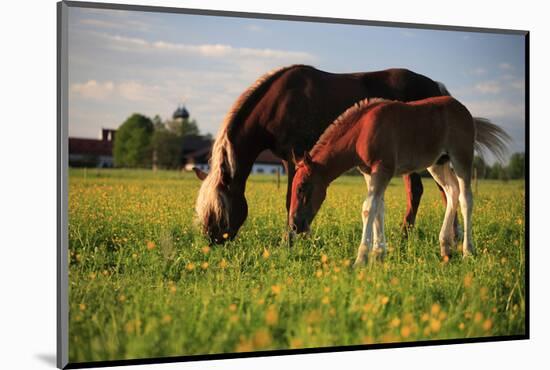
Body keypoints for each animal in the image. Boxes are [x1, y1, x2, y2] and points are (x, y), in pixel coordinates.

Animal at [196, 65, 454, 244]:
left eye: (218, 210)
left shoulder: (294, 156)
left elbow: (291, 197)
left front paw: (290, 240)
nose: (212, 241)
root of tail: (436, 87)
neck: (278, 103)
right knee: (429, 190)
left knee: (434, 190)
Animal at [292, 97, 512, 264]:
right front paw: (378, 255)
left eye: (302, 187)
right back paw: (446, 248)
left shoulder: (383, 170)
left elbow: (368, 209)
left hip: (461, 158)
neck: (362, 131)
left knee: (466, 199)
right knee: (452, 192)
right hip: (438, 163)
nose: (295, 225)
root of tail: (465, 111)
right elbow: (378, 209)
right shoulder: (369, 173)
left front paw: (361, 259)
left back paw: (467, 251)